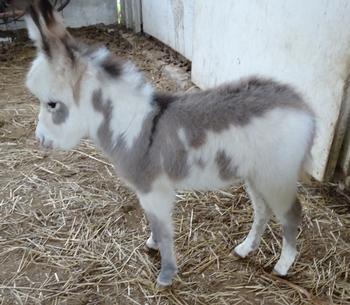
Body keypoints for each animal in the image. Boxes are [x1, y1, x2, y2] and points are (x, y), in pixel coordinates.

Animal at [24, 0, 314, 286]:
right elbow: (153, 223)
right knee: (263, 211)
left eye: (52, 104)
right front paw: (152, 245)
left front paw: (165, 276)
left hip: (276, 176)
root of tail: (302, 105)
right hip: (255, 174)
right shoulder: (147, 193)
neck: (132, 125)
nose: (40, 140)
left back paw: (282, 266)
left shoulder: (155, 191)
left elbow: (165, 231)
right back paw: (245, 249)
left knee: (291, 213)